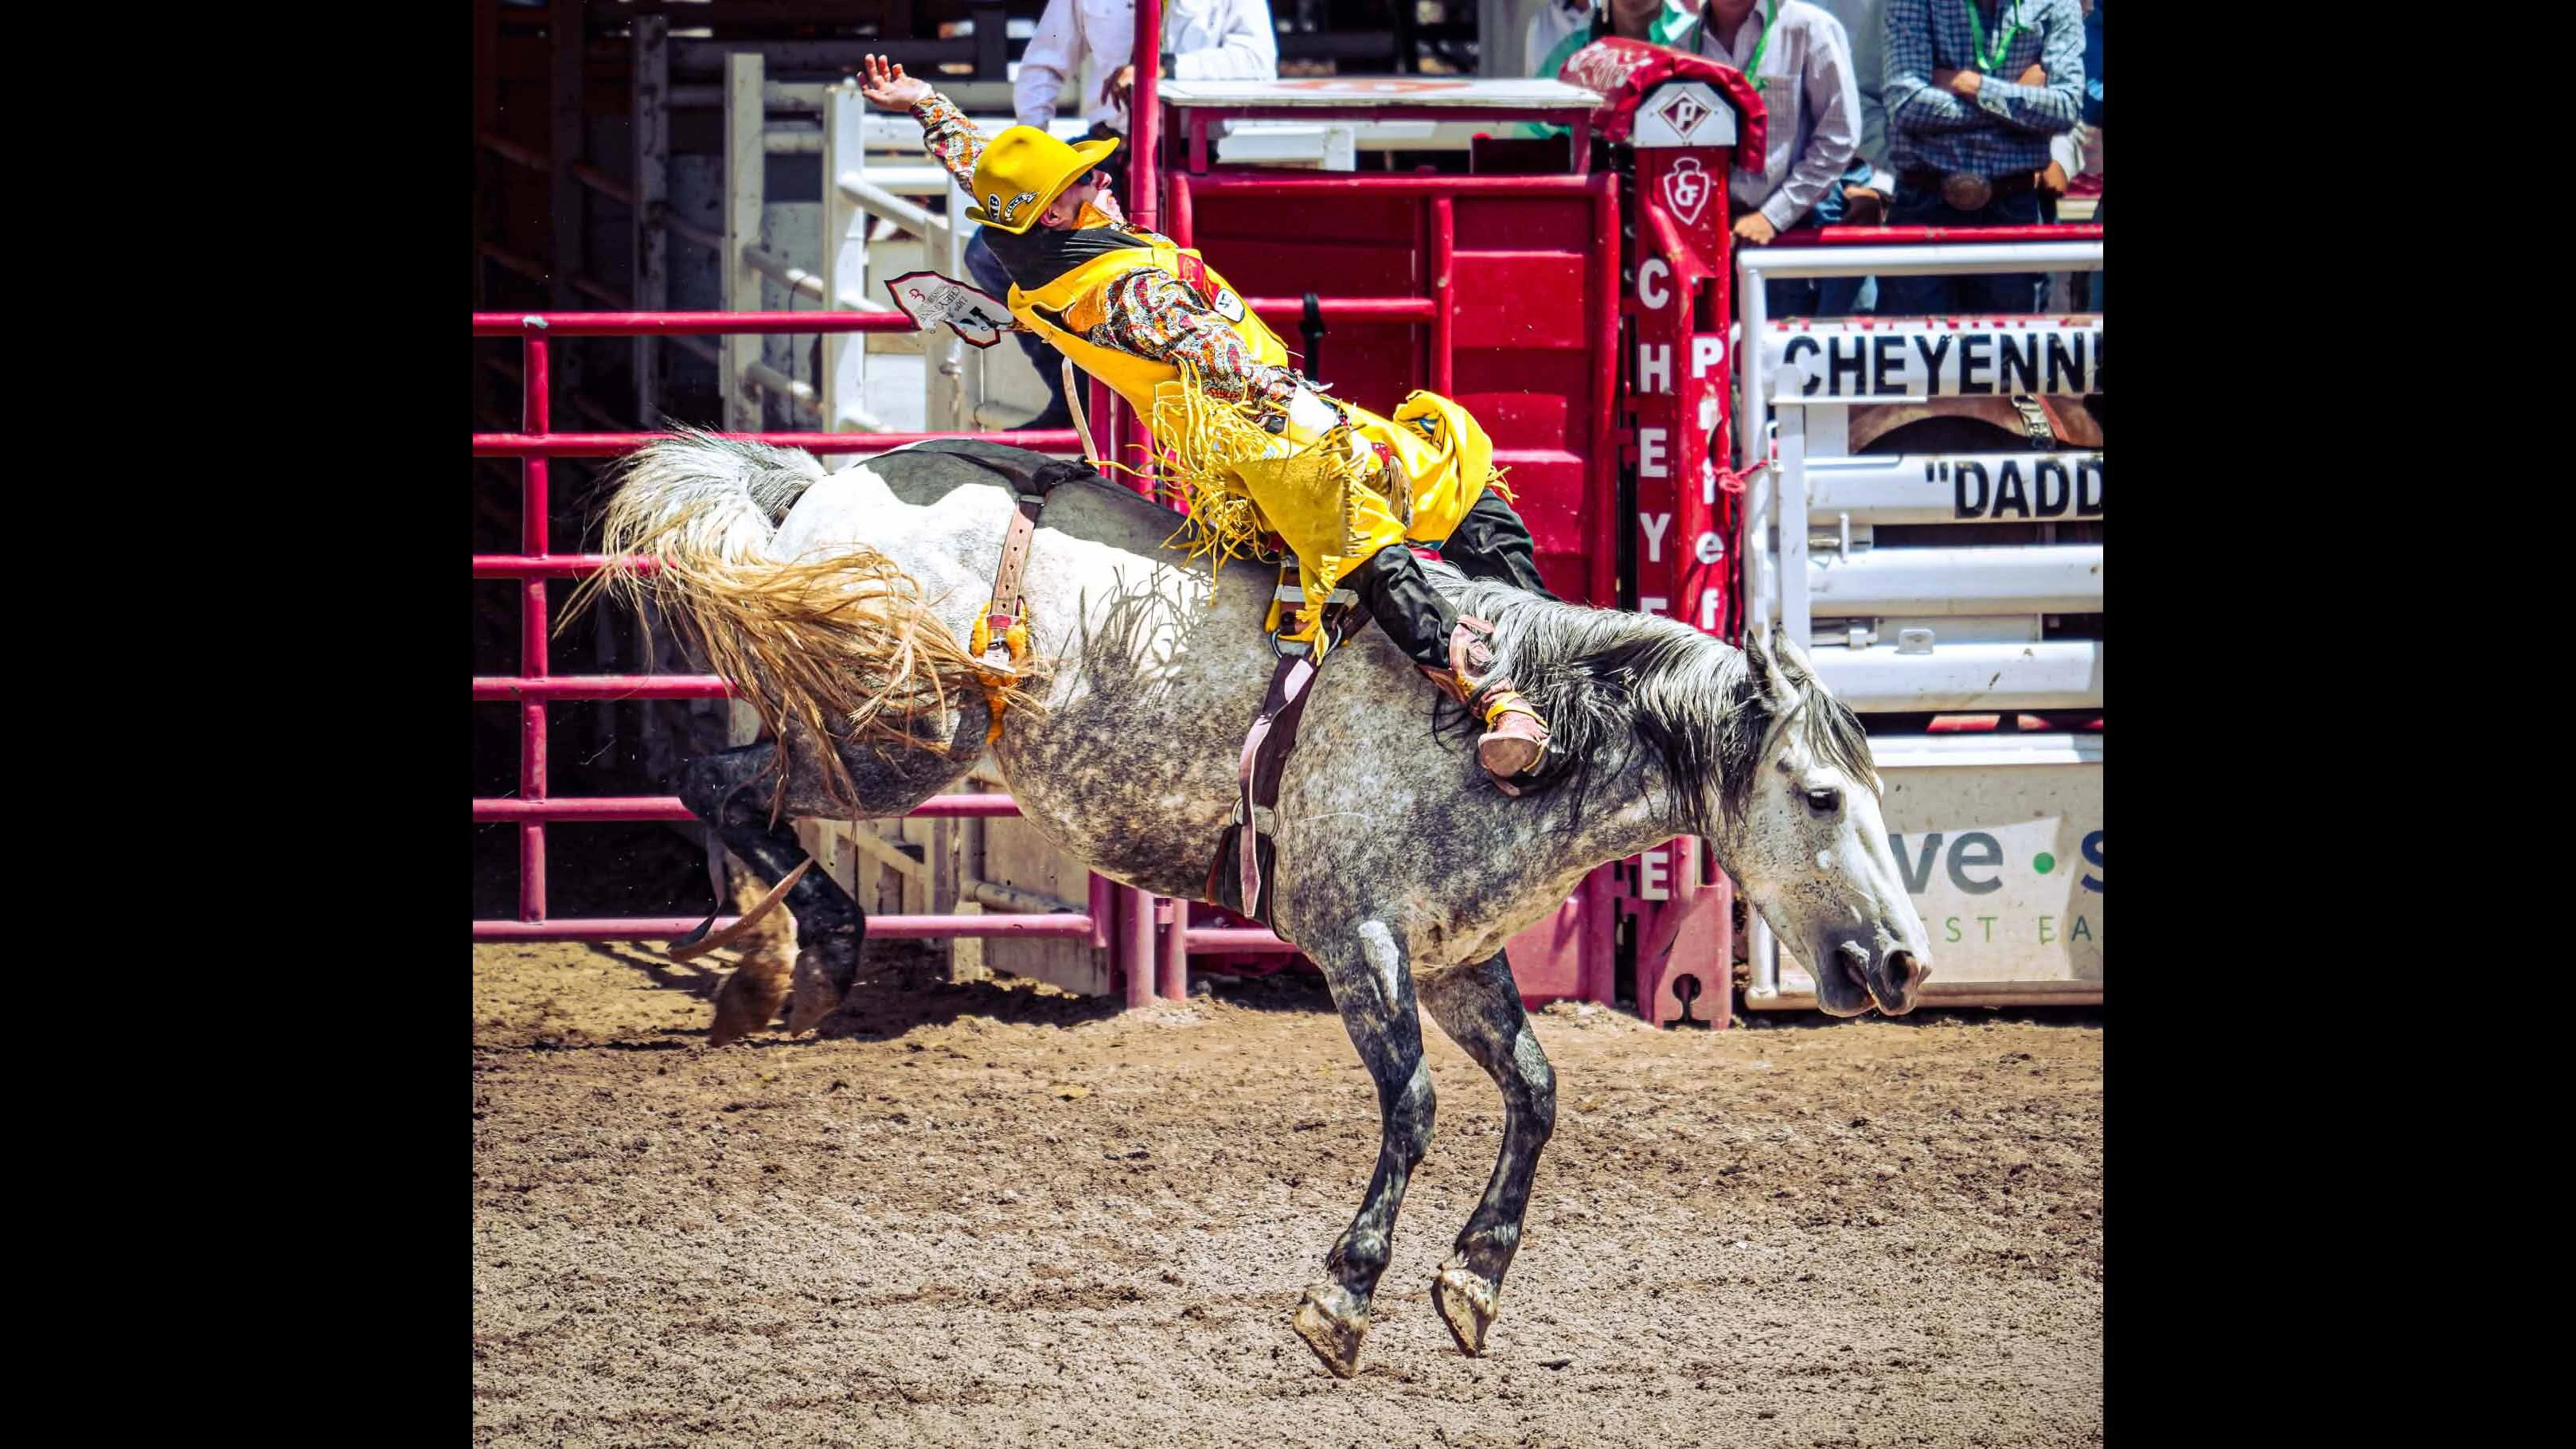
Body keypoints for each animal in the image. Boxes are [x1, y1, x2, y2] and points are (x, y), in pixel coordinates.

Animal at [579, 429, 1934, 1378]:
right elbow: (1415, 1107)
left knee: (729, 784)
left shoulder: (1458, 961)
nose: (1904, 965)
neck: (1509, 728)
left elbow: (1537, 1093)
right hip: (899, 733)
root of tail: (822, 487)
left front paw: (1475, 1282)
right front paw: (1344, 1297)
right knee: (714, 781)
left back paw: (779, 969)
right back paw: (794, 965)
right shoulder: (1357, 945)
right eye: (1820, 795)